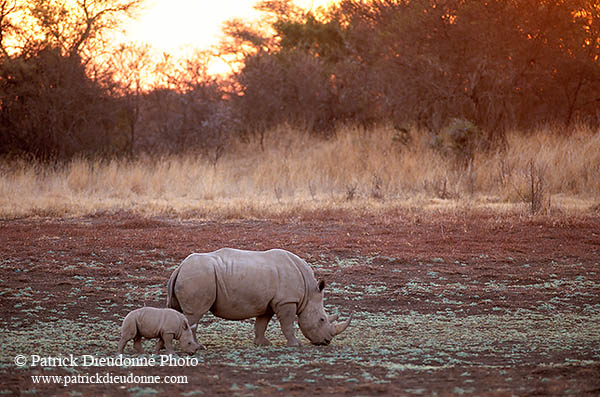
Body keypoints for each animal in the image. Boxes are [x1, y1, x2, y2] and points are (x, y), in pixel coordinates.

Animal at [166, 248, 352, 346]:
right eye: (322, 319)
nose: (327, 341)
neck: (308, 292)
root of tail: (179, 267)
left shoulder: (269, 303)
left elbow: (261, 324)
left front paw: (263, 343)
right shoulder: (287, 301)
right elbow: (288, 324)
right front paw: (296, 344)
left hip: (192, 275)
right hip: (198, 276)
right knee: (194, 314)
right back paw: (197, 347)